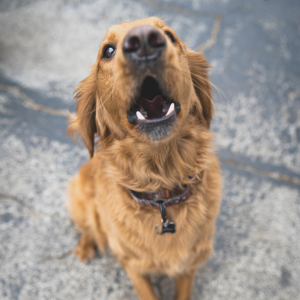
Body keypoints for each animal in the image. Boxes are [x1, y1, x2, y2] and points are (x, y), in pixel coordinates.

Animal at [68, 17, 223, 300]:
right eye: (108, 51)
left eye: (169, 36)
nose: (143, 41)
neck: (161, 190)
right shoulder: (134, 266)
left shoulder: (189, 264)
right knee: (89, 225)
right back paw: (85, 246)